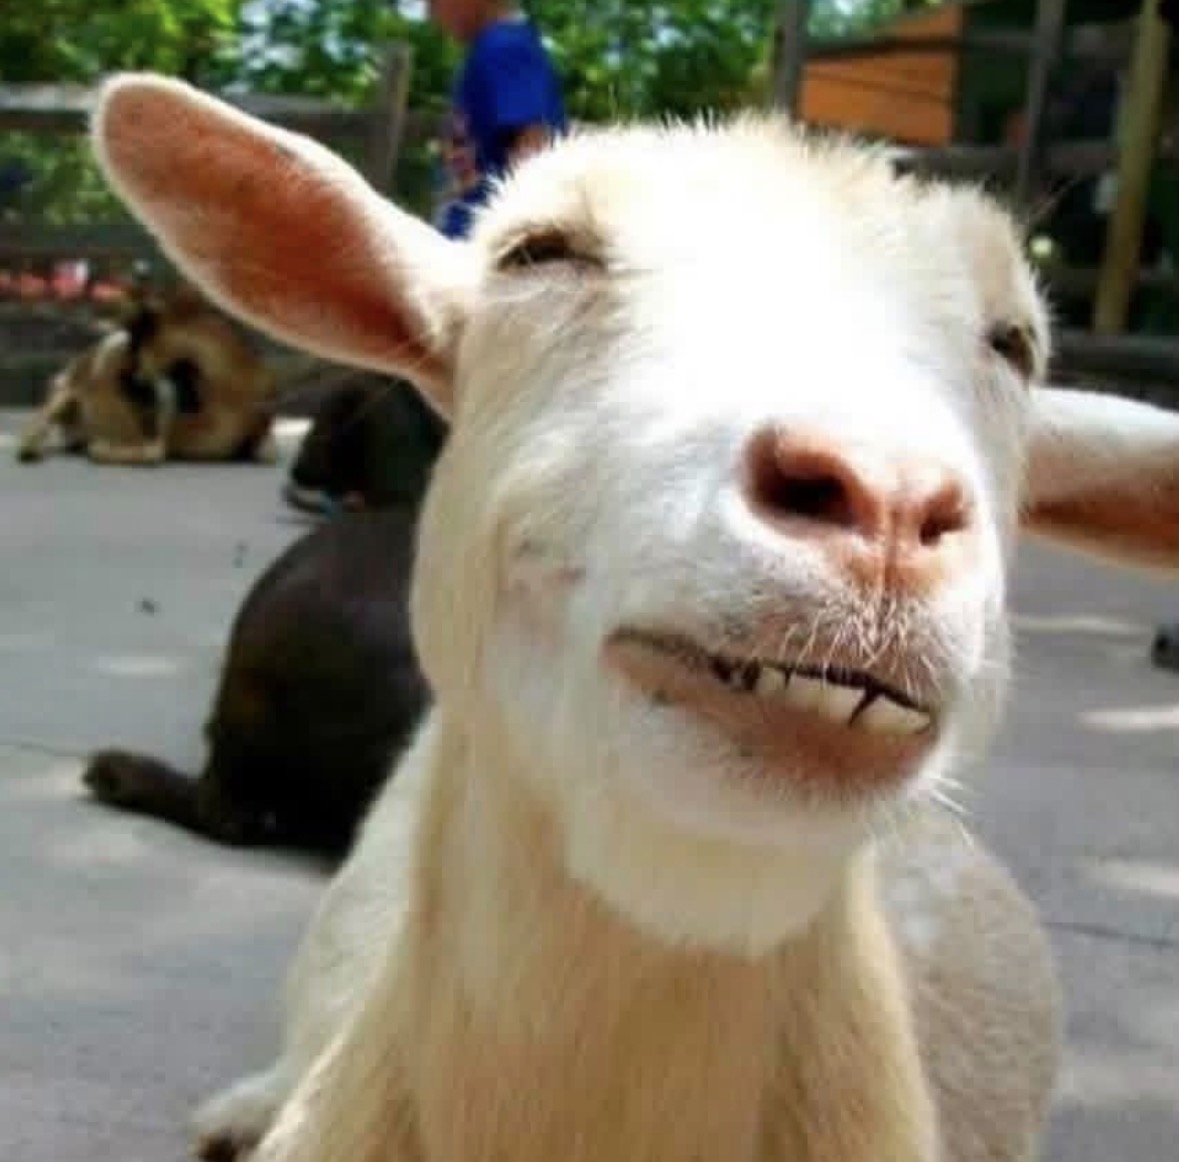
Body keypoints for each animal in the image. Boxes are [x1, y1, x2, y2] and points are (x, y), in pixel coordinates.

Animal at [16, 280, 278, 465]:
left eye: (135, 342)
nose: (126, 377)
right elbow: (152, 449)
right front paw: (106, 448)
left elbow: (265, 448)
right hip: (66, 392)